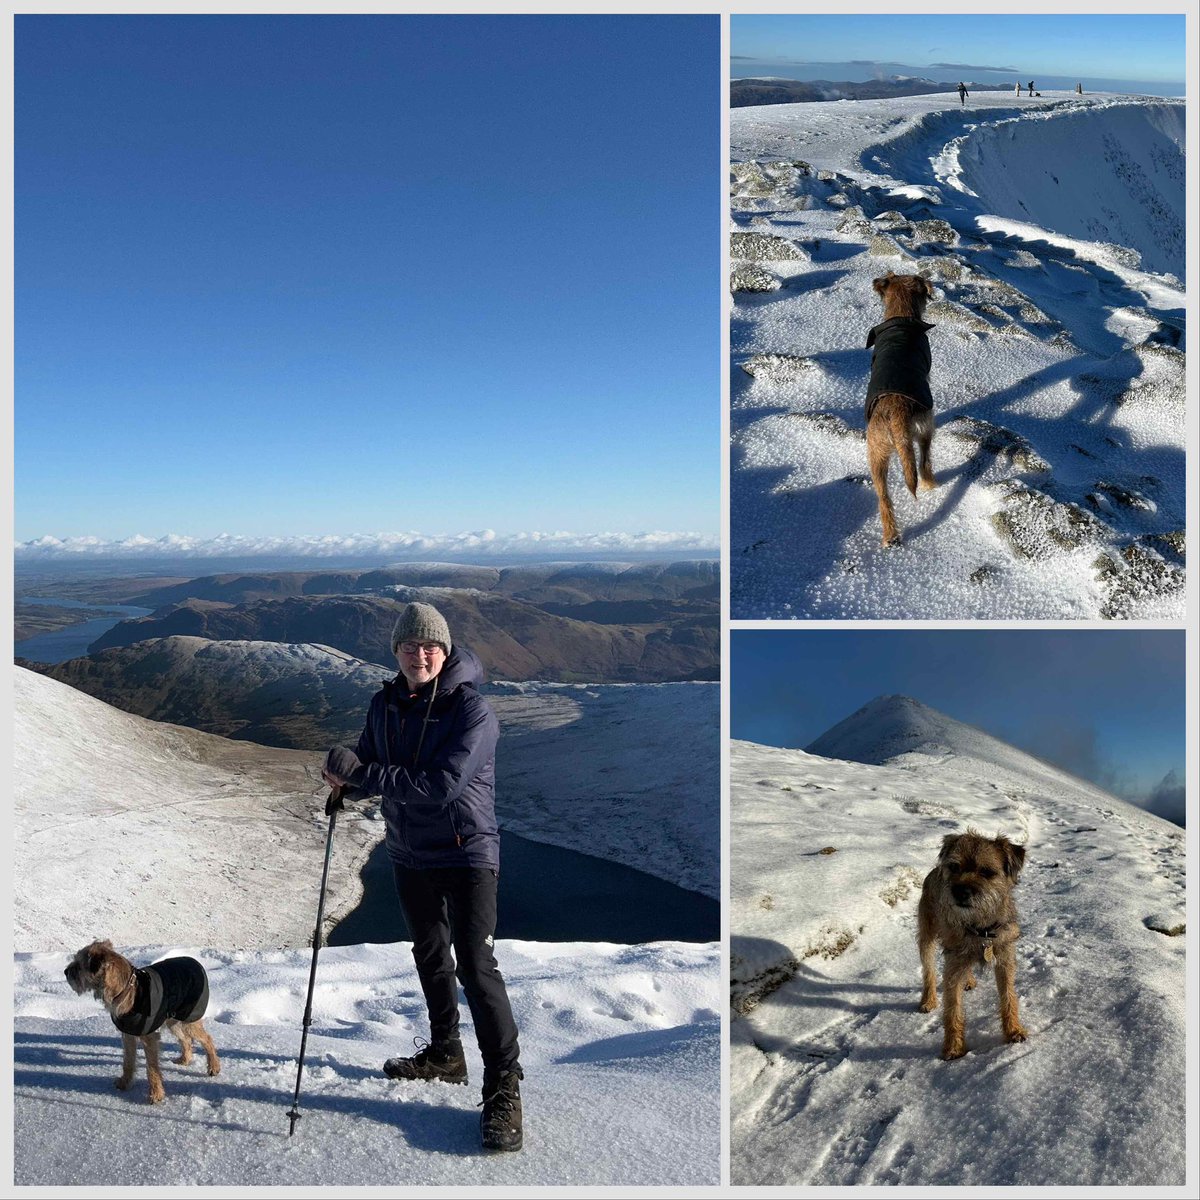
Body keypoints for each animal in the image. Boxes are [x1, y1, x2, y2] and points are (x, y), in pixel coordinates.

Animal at [65, 940, 220, 1099]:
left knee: (207, 1039)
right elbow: (128, 1062)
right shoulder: (128, 1035)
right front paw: (124, 1084)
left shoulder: (149, 1037)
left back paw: (214, 1066)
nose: (65, 972)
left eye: (78, 966)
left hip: (189, 1019)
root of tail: (195, 963)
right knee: (185, 1039)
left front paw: (156, 1094)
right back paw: (185, 1059)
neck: (126, 989)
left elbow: (152, 1067)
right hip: (173, 1021)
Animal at [868, 271, 940, 544]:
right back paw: (931, 484)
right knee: (924, 462)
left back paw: (890, 535)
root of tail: (895, 413)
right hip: (926, 426)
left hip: (876, 453)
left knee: (883, 497)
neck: (900, 316)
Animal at [912, 835, 1027, 1060]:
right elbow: (953, 1007)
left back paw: (969, 980)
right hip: (927, 937)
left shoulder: (1004, 959)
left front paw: (1013, 1031)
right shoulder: (954, 965)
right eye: (954, 867)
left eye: (987, 872)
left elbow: (1009, 997)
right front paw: (954, 1048)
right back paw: (928, 1000)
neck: (981, 929)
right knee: (929, 971)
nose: (960, 891)